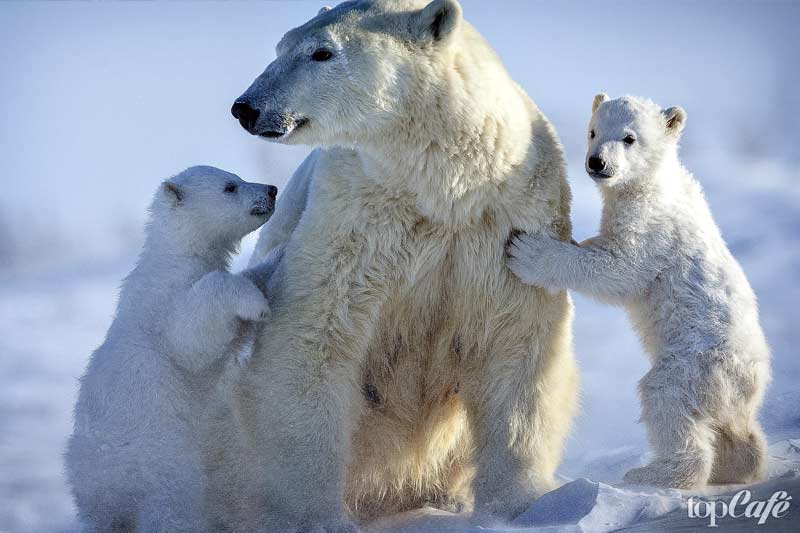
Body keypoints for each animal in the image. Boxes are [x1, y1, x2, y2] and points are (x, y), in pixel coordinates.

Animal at [65, 165, 278, 528]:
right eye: (230, 186)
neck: (175, 256)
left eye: (236, 178)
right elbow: (190, 337)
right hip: (160, 457)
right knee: (172, 504)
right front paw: (256, 303)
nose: (272, 189)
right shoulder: (164, 302)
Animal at [228, 0, 580, 524]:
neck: (443, 187)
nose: (247, 107)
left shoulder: (508, 222)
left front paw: (518, 505)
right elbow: (315, 337)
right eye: (282, 45)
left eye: (321, 52)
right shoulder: (357, 219)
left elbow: (517, 344)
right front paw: (316, 516)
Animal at [510, 94, 772, 486]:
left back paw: (653, 472)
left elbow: (620, 269)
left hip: (696, 362)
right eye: (593, 131)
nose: (597, 162)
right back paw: (742, 464)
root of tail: (753, 382)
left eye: (629, 137)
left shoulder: (652, 227)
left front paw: (527, 251)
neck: (654, 181)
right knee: (736, 428)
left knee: (667, 397)